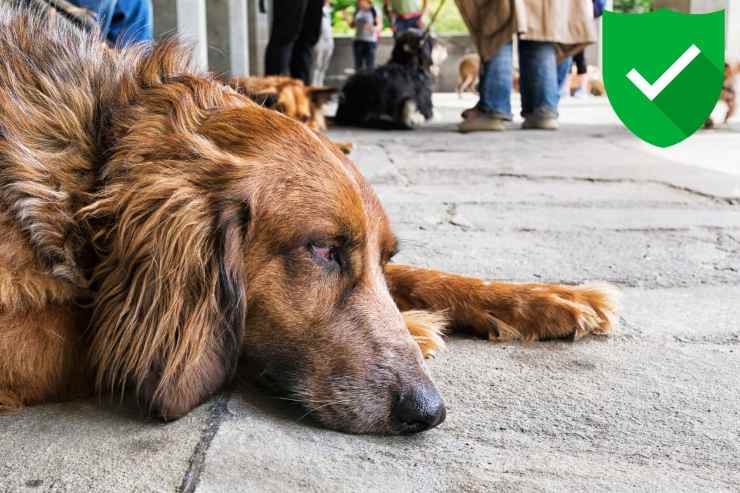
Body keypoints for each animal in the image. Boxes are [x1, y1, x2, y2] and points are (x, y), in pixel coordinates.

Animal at [0, 5, 620, 432]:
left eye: (382, 253)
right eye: (321, 250)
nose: (429, 411)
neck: (94, 165)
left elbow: (426, 276)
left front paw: (550, 298)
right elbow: (106, 338)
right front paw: (420, 328)